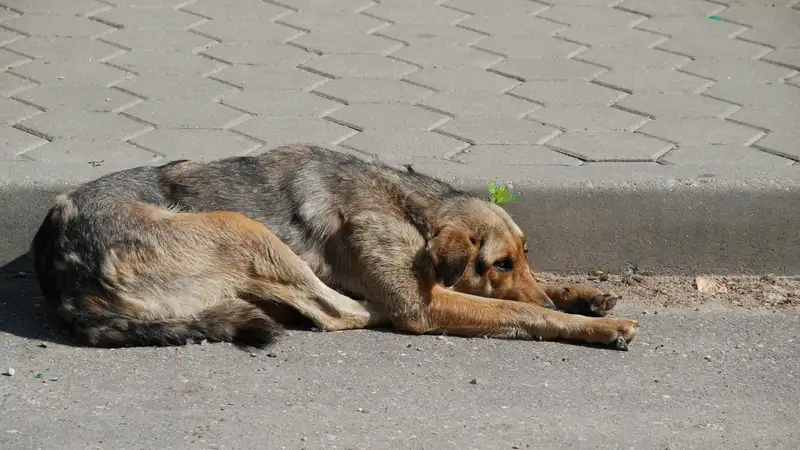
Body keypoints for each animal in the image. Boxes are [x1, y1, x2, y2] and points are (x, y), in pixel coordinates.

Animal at [29, 144, 636, 352]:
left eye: (526, 255)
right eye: (499, 264)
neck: (409, 207)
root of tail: (64, 276)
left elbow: (537, 297)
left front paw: (582, 296)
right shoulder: (421, 304)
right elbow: (521, 311)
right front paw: (589, 323)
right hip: (242, 228)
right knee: (334, 312)